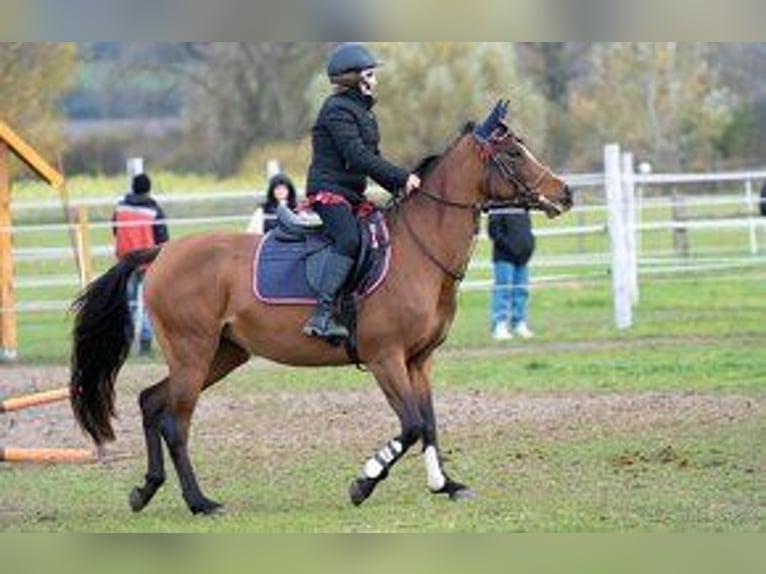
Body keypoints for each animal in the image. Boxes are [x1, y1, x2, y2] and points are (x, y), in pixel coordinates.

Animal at [72, 101, 572, 516]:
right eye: (513, 154)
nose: (565, 193)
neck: (418, 251)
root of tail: (164, 253)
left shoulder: (418, 361)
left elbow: (429, 424)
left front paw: (444, 485)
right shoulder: (385, 358)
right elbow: (411, 425)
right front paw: (365, 480)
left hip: (221, 354)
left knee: (151, 402)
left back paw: (145, 489)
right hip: (192, 352)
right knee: (176, 423)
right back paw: (200, 502)